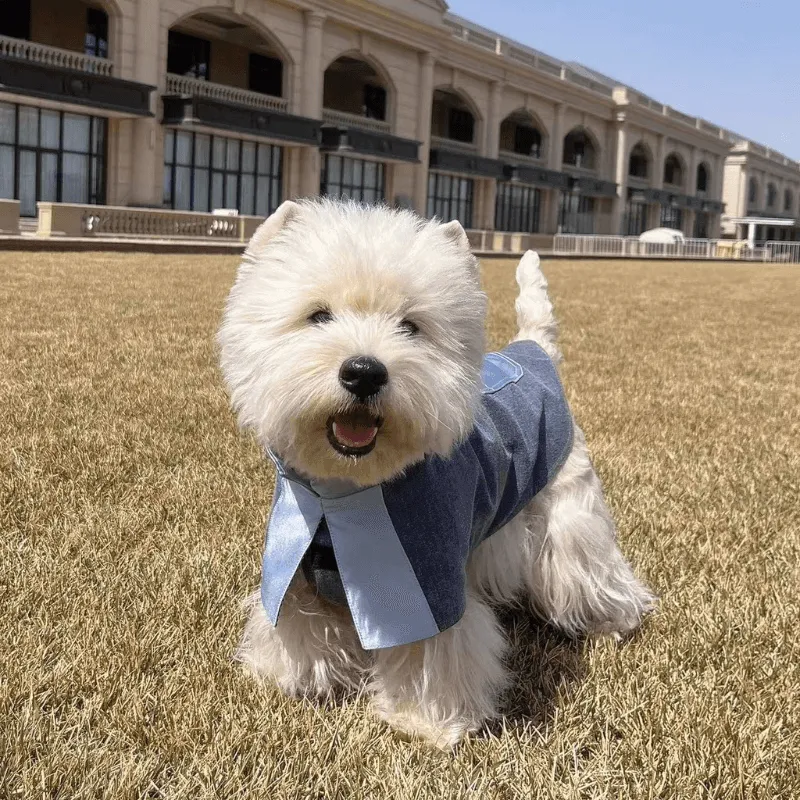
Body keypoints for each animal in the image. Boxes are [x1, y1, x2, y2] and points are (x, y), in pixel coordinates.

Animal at [216, 197, 652, 748]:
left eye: (410, 326)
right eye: (317, 316)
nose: (364, 372)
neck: (343, 494)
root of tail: (534, 351)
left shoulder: (427, 583)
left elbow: (435, 654)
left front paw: (424, 720)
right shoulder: (293, 569)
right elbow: (296, 623)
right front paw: (291, 677)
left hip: (569, 506)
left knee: (588, 567)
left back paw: (614, 620)